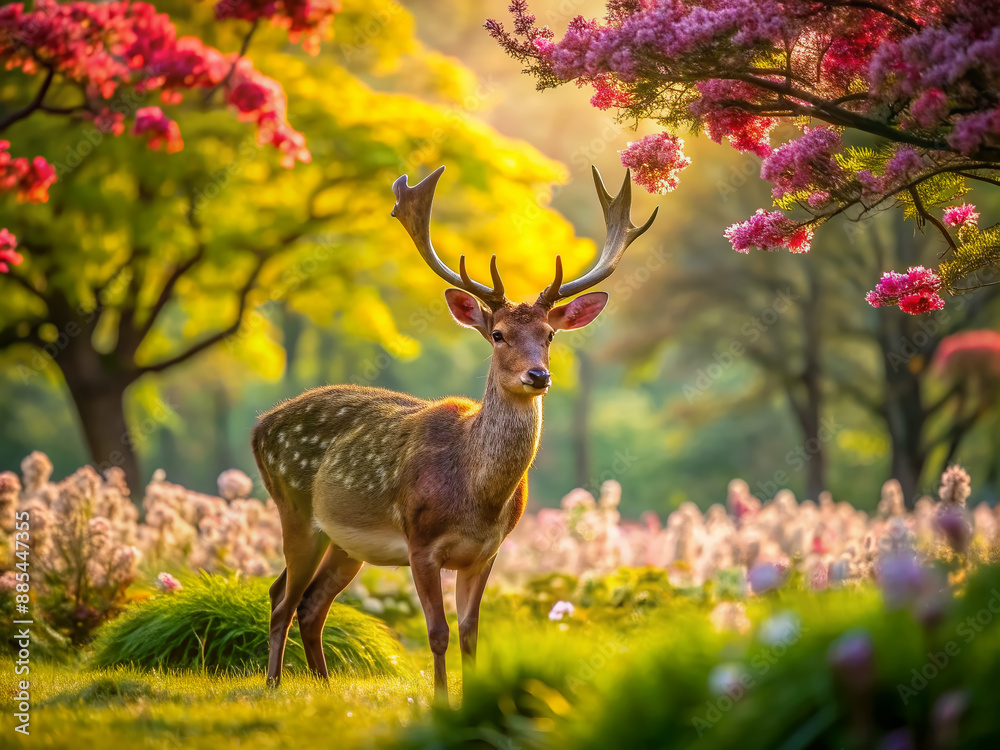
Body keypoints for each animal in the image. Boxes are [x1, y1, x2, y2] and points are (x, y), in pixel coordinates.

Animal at [251, 164, 657, 700]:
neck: (476, 497)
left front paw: (473, 695)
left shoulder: (486, 553)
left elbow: (469, 632)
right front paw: (442, 701)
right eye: (498, 334)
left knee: (311, 603)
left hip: (345, 542)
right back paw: (274, 683)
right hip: (295, 511)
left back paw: (323, 684)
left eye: (549, 335)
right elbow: (437, 632)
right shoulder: (420, 543)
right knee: (281, 595)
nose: (539, 375)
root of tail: (259, 426)